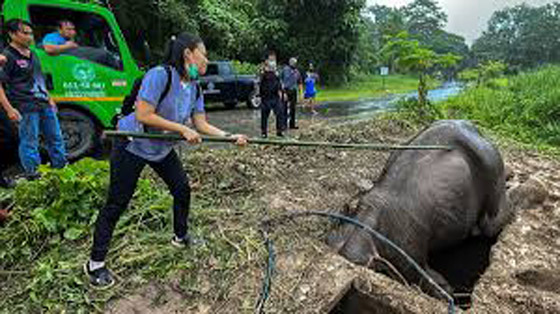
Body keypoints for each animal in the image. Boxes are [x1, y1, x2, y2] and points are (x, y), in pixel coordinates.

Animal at [328, 119, 516, 300]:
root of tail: (473, 128)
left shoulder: (411, 254)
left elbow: (428, 278)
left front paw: (447, 291)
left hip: (492, 183)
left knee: (498, 216)